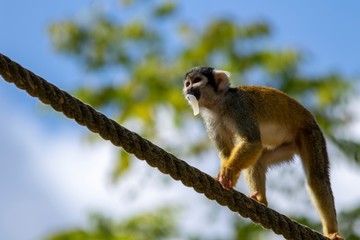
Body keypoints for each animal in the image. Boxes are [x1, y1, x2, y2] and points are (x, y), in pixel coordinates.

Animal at [184, 66, 344, 240]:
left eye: (197, 81)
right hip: (290, 144)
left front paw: (228, 171)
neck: (219, 103)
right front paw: (229, 178)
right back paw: (261, 201)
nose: (188, 90)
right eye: (187, 83)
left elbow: (252, 142)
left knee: (317, 178)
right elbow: (227, 150)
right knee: (259, 159)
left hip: (310, 134)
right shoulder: (212, 120)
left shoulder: (239, 108)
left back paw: (332, 232)